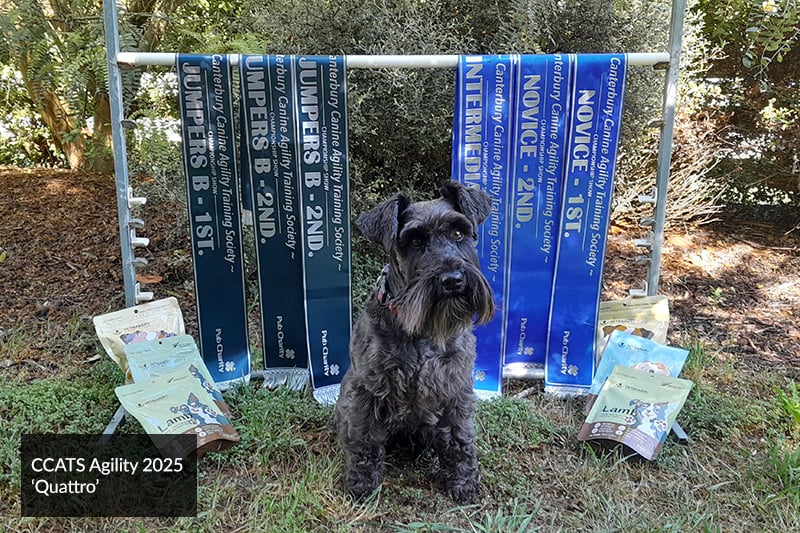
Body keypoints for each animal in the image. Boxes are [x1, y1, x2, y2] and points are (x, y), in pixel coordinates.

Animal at [334, 180, 495, 503]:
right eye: (415, 241)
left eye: (458, 233)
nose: (453, 279)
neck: (422, 329)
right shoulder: (365, 389)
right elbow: (364, 436)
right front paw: (361, 483)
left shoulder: (455, 388)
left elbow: (460, 438)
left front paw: (464, 483)